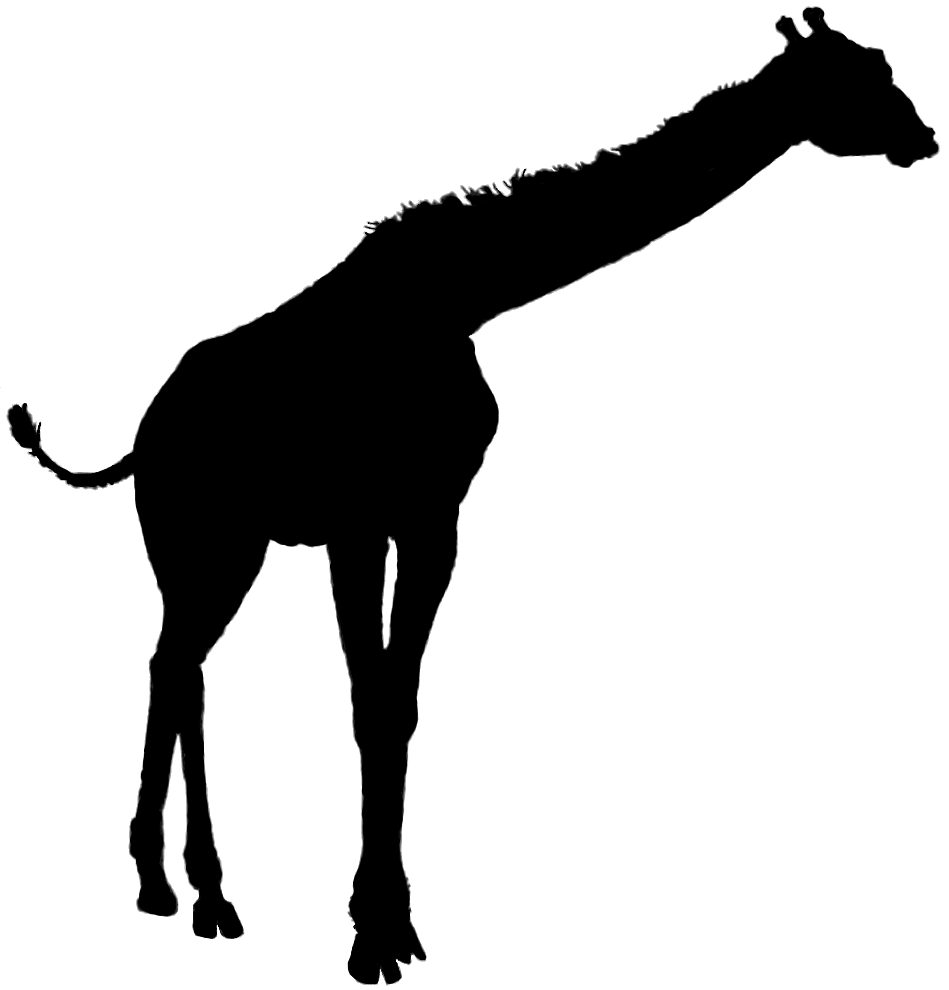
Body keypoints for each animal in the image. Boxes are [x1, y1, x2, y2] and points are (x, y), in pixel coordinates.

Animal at [7, 9, 937, 985]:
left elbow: (402, 705)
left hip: (232, 546)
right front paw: (370, 936)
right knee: (177, 666)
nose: (921, 137)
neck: (462, 298)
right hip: (200, 537)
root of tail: (144, 434)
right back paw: (193, 892)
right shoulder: (358, 520)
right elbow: (369, 703)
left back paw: (180, 889)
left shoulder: (433, 518)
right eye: (852, 80)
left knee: (176, 666)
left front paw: (396, 922)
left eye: (881, 65)